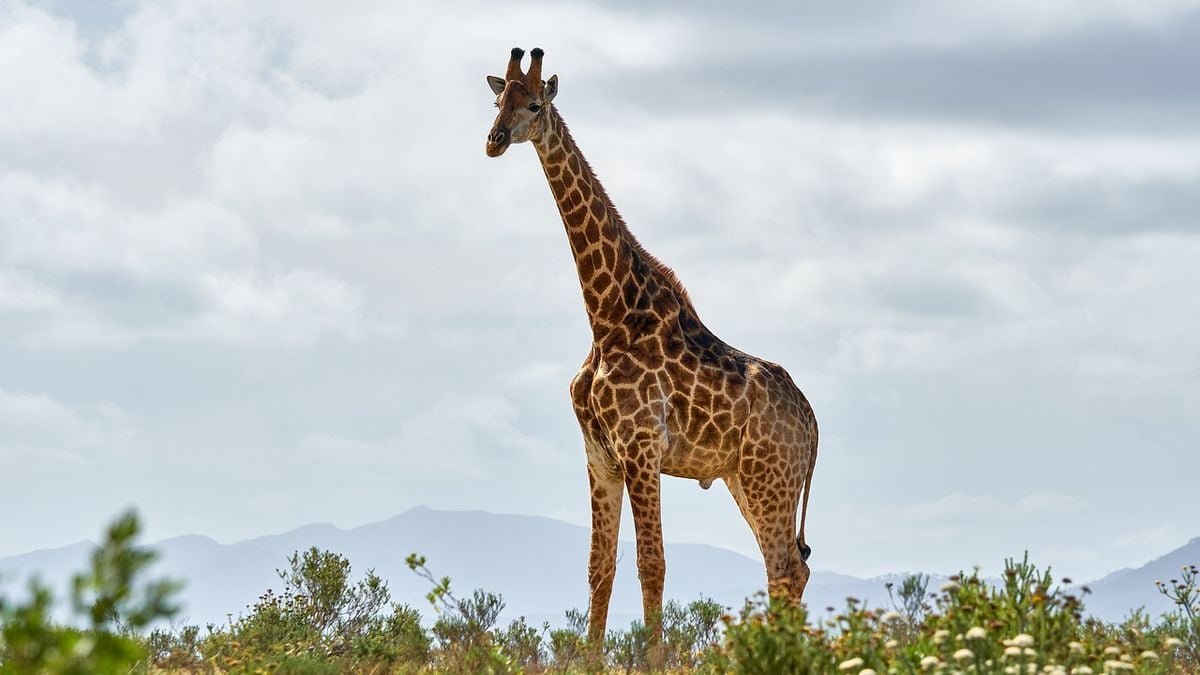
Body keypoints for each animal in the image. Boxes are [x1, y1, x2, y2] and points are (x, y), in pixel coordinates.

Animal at [484, 47, 819, 643]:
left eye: (535, 103)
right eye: (498, 101)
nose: (495, 140)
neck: (606, 316)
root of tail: (812, 421)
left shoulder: (641, 447)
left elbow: (652, 563)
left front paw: (652, 657)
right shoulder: (600, 455)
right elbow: (600, 566)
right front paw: (589, 657)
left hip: (770, 477)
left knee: (784, 568)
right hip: (745, 478)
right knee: (789, 567)